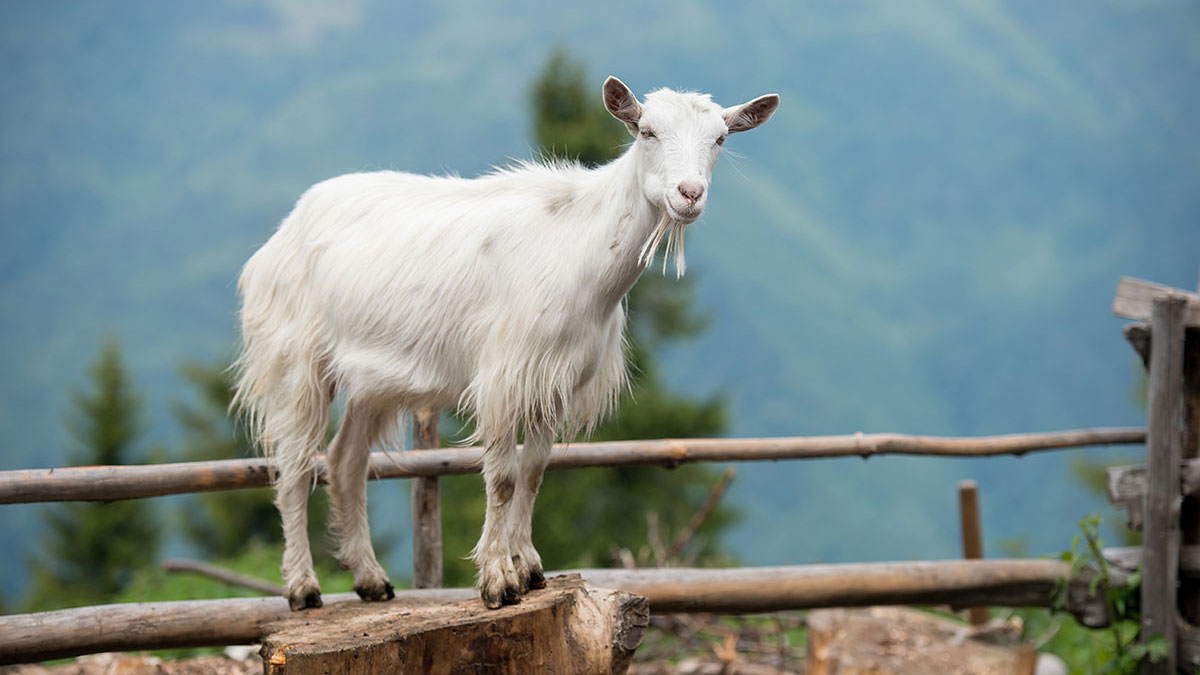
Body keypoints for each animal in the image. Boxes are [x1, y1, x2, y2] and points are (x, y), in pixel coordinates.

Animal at [231, 76, 777, 607]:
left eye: (720, 139)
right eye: (646, 131)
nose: (689, 194)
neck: (580, 247)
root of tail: (282, 234)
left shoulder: (555, 381)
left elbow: (534, 471)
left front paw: (529, 569)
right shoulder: (503, 376)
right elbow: (503, 476)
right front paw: (497, 582)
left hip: (371, 381)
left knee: (345, 462)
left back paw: (371, 581)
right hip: (296, 361)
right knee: (295, 465)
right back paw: (303, 588)